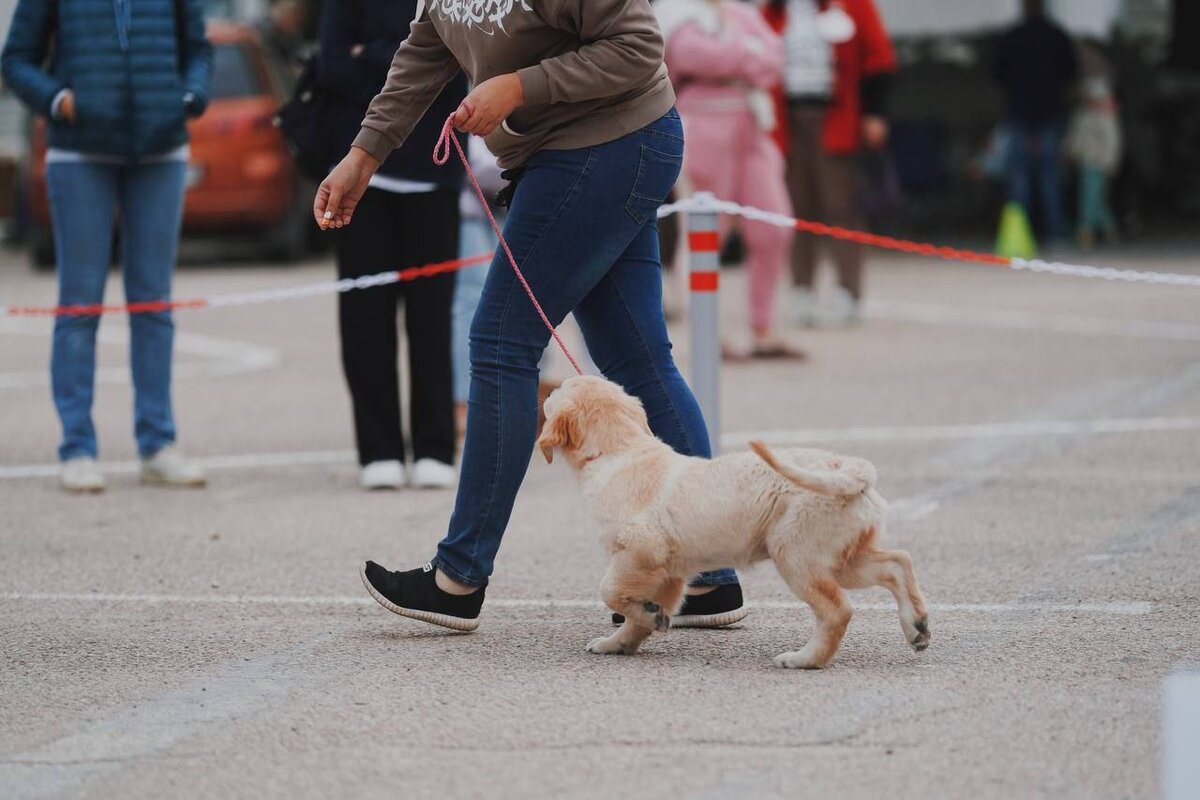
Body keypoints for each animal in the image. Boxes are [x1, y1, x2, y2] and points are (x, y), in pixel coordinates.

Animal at [540, 376, 931, 671]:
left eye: (556, 392)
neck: (619, 451)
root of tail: (850, 470)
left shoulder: (640, 550)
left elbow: (609, 590)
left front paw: (646, 616)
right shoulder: (670, 572)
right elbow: (640, 615)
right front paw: (621, 640)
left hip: (796, 555)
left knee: (838, 611)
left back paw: (804, 659)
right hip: (840, 557)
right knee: (898, 562)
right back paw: (917, 627)